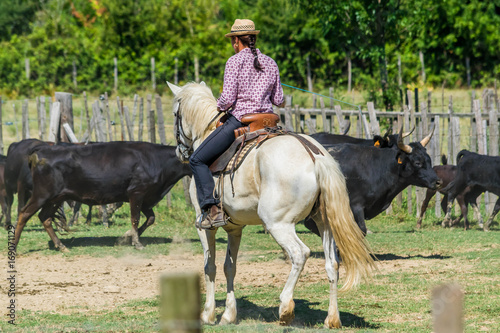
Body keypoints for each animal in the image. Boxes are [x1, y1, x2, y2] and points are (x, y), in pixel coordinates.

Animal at [12, 141, 191, 252]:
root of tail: (41, 150)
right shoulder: (137, 192)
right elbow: (135, 218)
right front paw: (136, 242)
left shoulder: (147, 198)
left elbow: (151, 218)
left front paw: (126, 237)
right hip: (42, 194)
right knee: (24, 213)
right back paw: (14, 245)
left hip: (56, 197)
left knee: (45, 217)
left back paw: (61, 245)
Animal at [168, 81, 376, 328]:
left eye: (175, 114)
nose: (180, 152)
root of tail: (315, 156)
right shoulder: (234, 228)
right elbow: (230, 267)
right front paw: (229, 314)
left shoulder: (204, 225)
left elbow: (210, 266)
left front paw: (208, 314)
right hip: (324, 224)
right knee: (332, 263)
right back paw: (332, 318)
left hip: (278, 224)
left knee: (300, 254)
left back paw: (285, 307)